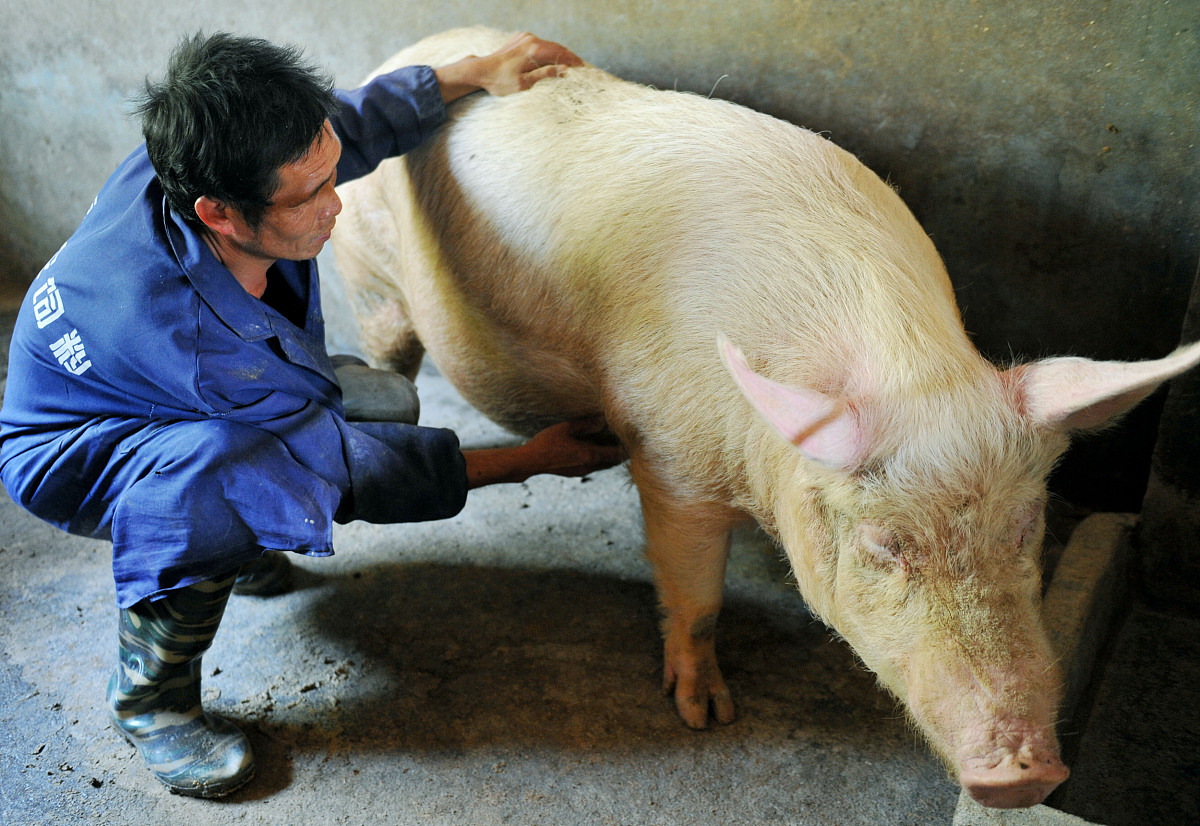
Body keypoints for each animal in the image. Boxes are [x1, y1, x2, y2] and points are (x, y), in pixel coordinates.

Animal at [328, 25, 1200, 806]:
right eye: (886, 545)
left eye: (1027, 529)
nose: (1027, 774)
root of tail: (411, 48)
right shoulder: (668, 452)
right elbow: (696, 593)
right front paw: (706, 715)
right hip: (369, 277)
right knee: (386, 366)